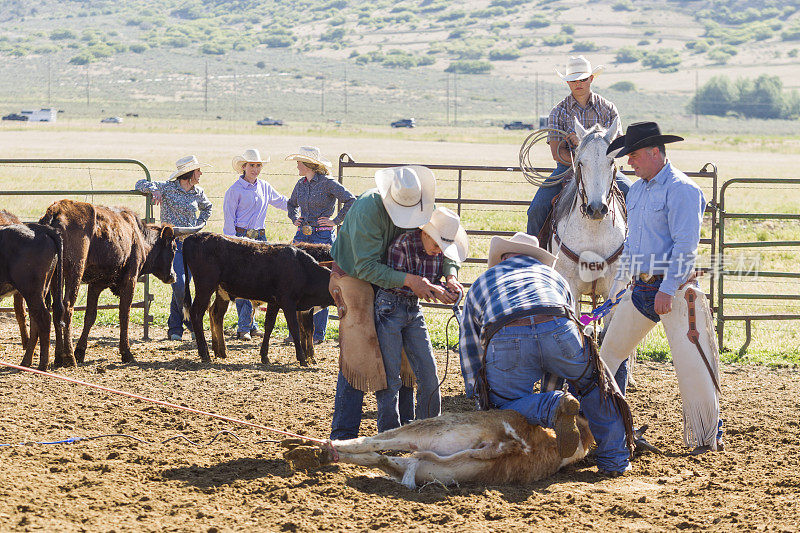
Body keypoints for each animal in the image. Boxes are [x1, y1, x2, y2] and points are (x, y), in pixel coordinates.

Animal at [40, 200, 194, 366]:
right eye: (174, 248)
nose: (173, 276)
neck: (138, 236)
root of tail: (56, 211)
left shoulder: (96, 283)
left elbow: (90, 316)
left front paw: (80, 351)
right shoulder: (130, 280)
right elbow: (124, 314)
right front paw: (126, 353)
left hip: (55, 276)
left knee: (57, 309)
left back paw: (58, 357)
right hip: (75, 271)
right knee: (67, 307)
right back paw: (69, 357)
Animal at [180, 234, 332, 366]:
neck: (302, 269)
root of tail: (192, 237)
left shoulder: (275, 302)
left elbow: (269, 326)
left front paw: (265, 356)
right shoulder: (288, 303)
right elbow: (295, 329)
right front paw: (303, 358)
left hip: (220, 291)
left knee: (215, 313)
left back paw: (220, 352)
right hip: (205, 287)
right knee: (196, 314)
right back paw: (205, 354)